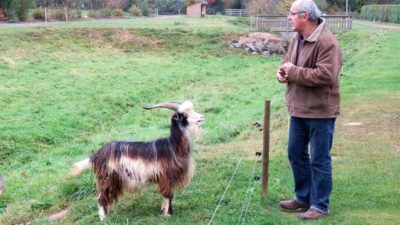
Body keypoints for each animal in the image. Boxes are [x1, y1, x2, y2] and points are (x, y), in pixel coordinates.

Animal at [69, 101, 205, 221]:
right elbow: (169, 195)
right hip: (107, 178)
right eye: (184, 115)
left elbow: (165, 195)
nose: (202, 117)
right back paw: (104, 218)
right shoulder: (166, 176)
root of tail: (96, 155)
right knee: (100, 198)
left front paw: (163, 210)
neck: (172, 146)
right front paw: (168, 215)